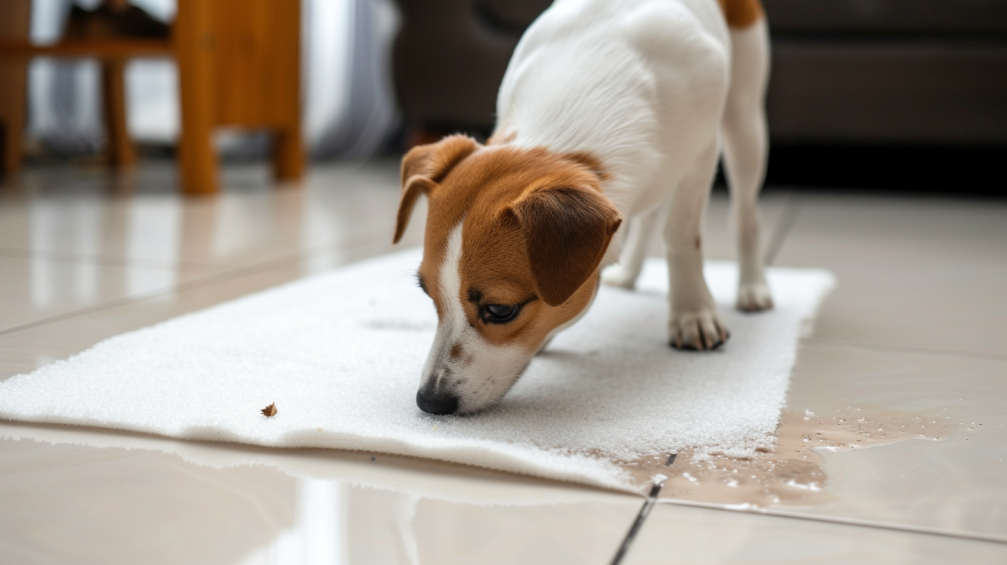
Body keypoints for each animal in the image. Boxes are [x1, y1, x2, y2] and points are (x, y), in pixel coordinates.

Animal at [390, 0, 769, 414]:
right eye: (430, 295)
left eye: (501, 310)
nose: (430, 401)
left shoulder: (702, 153)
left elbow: (682, 237)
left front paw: (692, 311)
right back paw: (629, 275)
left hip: (744, 120)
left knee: (745, 214)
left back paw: (753, 287)